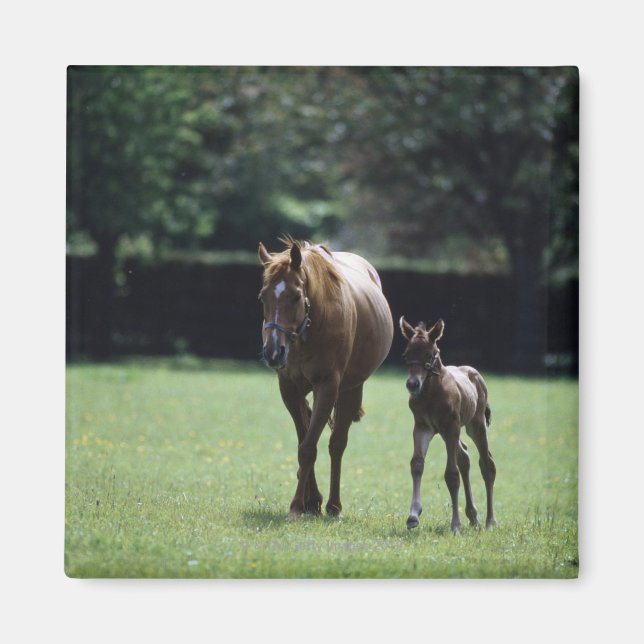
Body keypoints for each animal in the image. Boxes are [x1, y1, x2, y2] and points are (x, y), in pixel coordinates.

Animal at [258, 238, 393, 518]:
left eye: (296, 296)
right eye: (262, 297)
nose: (273, 352)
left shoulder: (328, 387)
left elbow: (309, 447)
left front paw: (297, 506)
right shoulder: (289, 389)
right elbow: (304, 440)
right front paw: (308, 501)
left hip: (351, 389)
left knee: (337, 444)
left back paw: (333, 505)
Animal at [399, 316, 497, 532]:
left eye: (430, 354)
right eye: (406, 354)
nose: (412, 385)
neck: (431, 393)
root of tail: (475, 373)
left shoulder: (450, 427)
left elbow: (451, 474)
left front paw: (455, 525)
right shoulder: (422, 427)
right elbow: (417, 464)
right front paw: (413, 516)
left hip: (475, 425)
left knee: (487, 464)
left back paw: (490, 521)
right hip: (450, 432)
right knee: (465, 457)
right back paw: (473, 516)